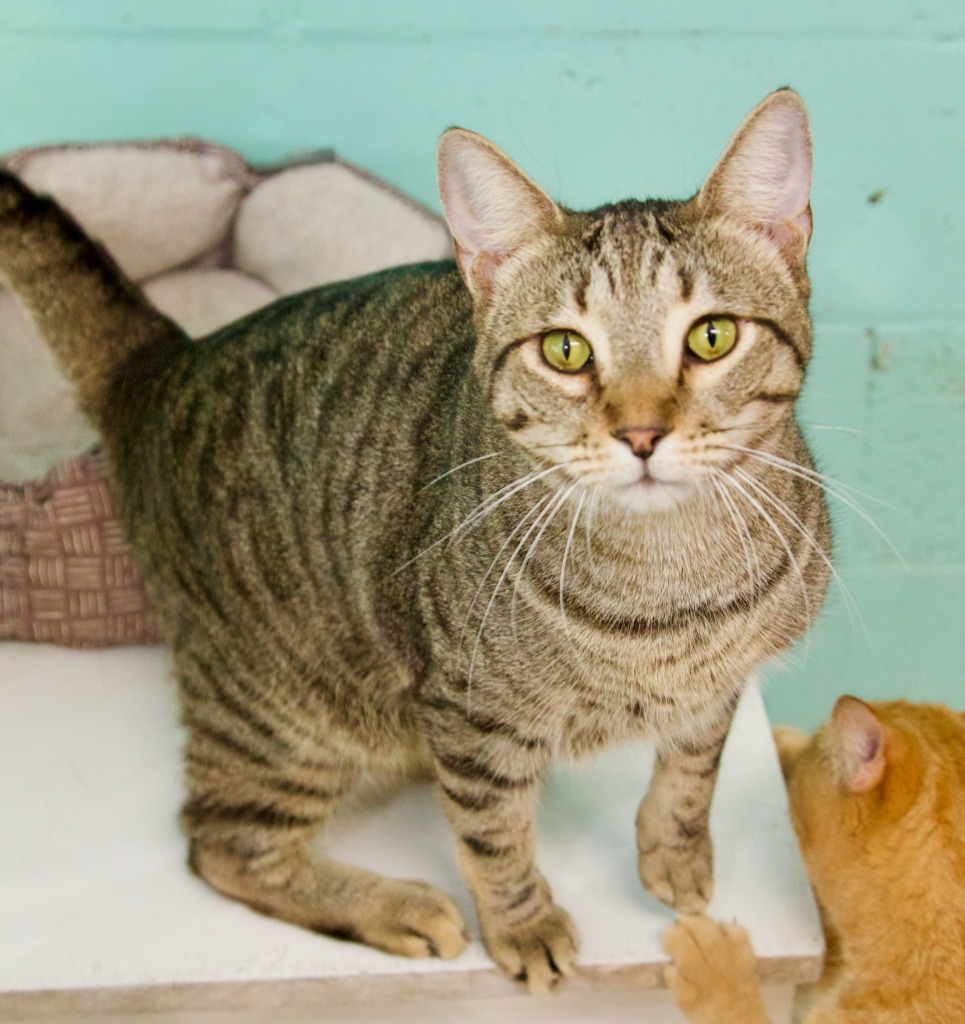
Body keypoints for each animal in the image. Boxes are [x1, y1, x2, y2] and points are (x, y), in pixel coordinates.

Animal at [0, 90, 831, 991]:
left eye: (711, 337)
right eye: (565, 349)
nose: (641, 433)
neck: (669, 584)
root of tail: (162, 366)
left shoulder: (722, 684)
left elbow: (691, 771)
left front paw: (674, 856)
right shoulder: (472, 717)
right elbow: (493, 837)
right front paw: (521, 924)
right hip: (283, 716)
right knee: (222, 841)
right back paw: (394, 906)